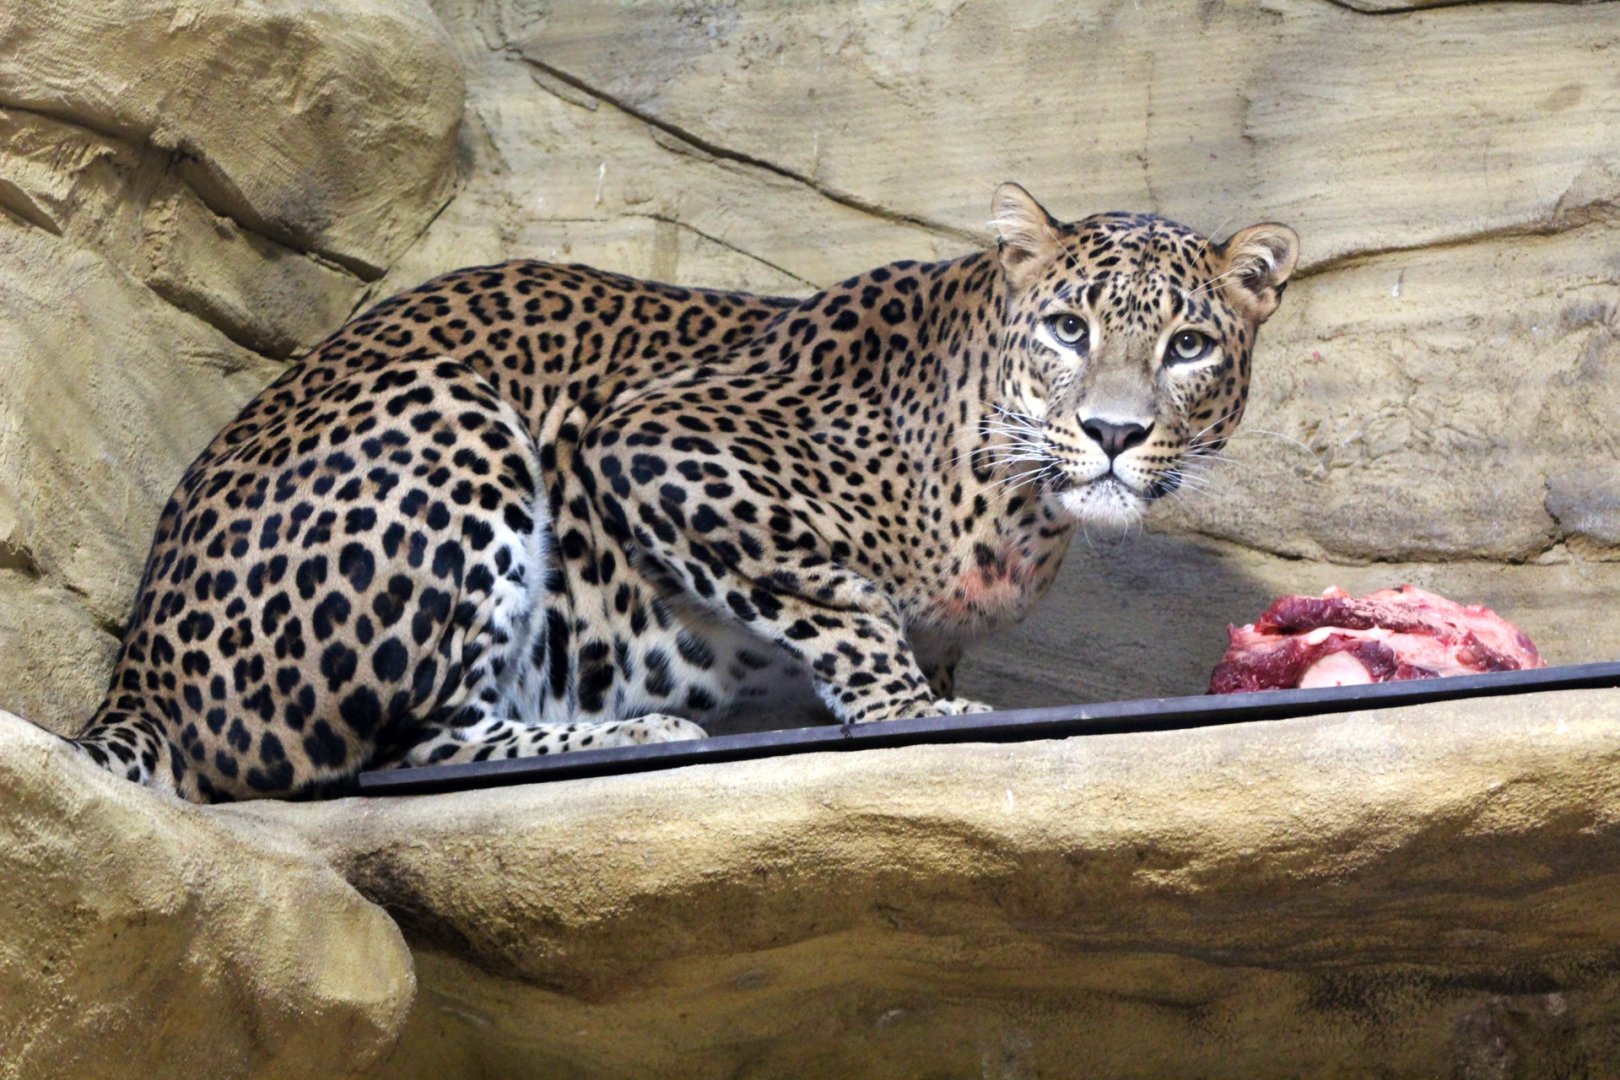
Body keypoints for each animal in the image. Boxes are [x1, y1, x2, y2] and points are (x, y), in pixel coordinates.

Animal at [69, 183, 1298, 801]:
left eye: (1189, 345)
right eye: (1068, 329)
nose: (1112, 432)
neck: (1018, 503)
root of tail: (138, 667)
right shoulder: (660, 441)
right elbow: (842, 599)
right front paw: (905, 708)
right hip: (448, 414)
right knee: (390, 750)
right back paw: (629, 730)